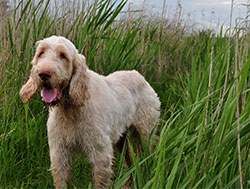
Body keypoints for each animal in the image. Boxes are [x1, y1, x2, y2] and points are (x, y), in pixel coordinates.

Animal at [19, 35, 160, 189]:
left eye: (63, 55)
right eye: (41, 53)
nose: (43, 74)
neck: (69, 109)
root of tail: (139, 75)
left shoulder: (100, 154)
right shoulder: (59, 154)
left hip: (146, 134)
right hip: (121, 140)